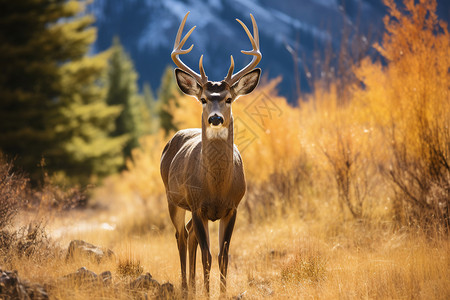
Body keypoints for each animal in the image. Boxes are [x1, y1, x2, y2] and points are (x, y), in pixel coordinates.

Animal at [161, 11, 260, 296]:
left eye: (228, 99)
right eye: (204, 99)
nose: (215, 119)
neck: (215, 186)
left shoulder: (232, 207)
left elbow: (223, 256)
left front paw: (222, 293)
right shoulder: (197, 205)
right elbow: (207, 256)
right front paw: (206, 293)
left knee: (190, 235)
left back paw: (193, 286)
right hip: (172, 198)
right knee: (181, 236)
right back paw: (186, 287)